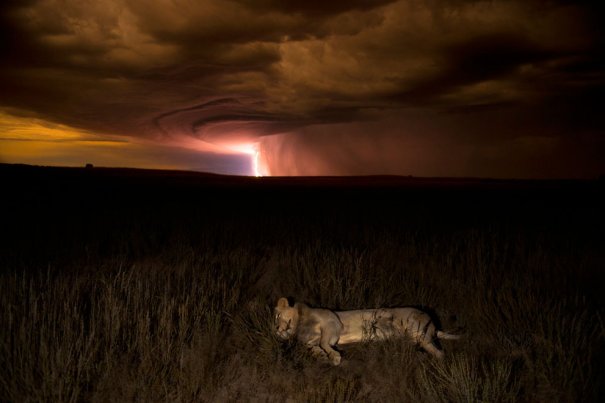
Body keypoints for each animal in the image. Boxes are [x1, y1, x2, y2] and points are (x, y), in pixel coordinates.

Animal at [272, 296, 458, 366]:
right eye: (275, 319)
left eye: (278, 315)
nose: (276, 330)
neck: (299, 325)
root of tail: (433, 324)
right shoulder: (311, 341)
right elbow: (313, 347)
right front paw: (324, 356)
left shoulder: (333, 322)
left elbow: (325, 341)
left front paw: (334, 356)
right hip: (417, 338)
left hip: (418, 331)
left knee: (440, 353)